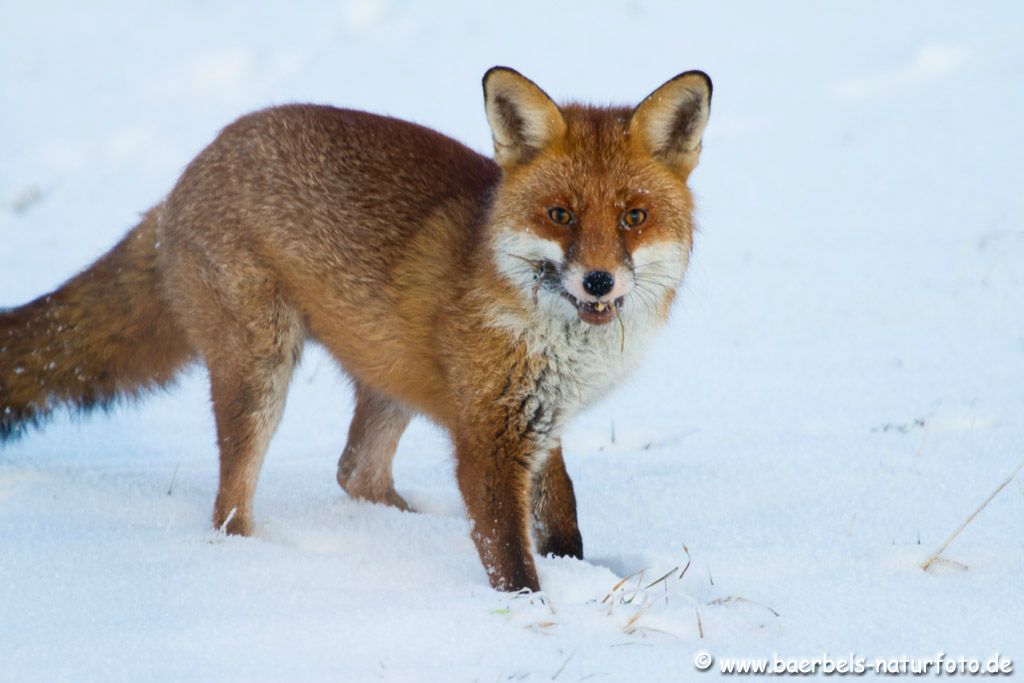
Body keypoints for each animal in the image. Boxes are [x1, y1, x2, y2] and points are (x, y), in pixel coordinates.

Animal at [2, 68, 712, 593]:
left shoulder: (541, 421)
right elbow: (511, 558)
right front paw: (537, 616)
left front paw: (577, 574)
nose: (598, 282)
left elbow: (560, 517)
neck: (560, 343)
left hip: (389, 378)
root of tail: (192, 168)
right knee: (231, 509)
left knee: (354, 474)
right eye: (560, 215)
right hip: (262, 372)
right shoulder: (490, 436)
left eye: (633, 217)